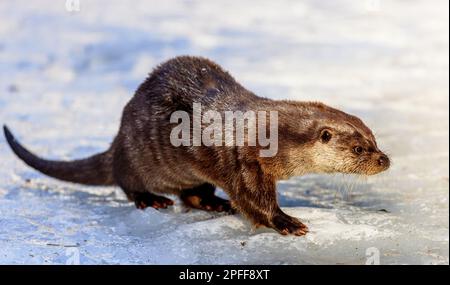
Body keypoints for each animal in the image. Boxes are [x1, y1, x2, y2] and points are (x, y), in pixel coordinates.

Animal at [3, 56, 388, 235]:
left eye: (374, 139)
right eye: (359, 149)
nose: (384, 160)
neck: (271, 135)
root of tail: (117, 140)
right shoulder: (243, 161)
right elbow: (253, 200)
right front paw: (286, 222)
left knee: (189, 195)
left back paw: (214, 203)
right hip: (135, 157)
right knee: (128, 183)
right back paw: (151, 200)